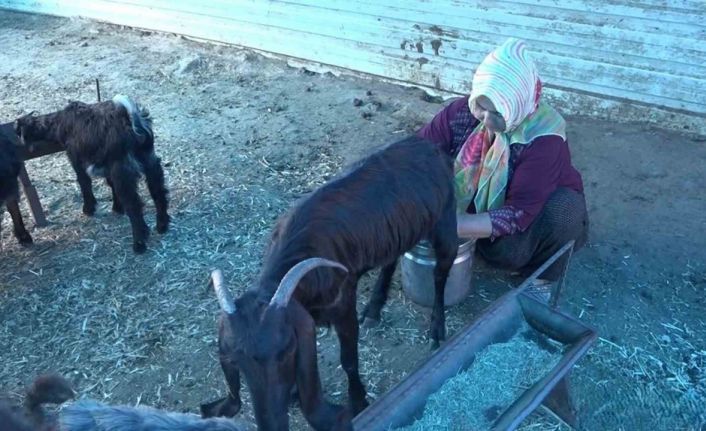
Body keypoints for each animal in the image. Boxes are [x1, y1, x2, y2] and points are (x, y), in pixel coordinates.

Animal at [14, 95, 170, 253]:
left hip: (123, 171)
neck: (59, 122)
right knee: (159, 192)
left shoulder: (76, 158)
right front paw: (117, 207)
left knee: (134, 205)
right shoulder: (106, 164)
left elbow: (84, 182)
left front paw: (89, 208)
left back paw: (139, 243)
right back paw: (162, 225)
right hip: (150, 161)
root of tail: (131, 120)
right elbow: (110, 184)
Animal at [202, 137, 456, 430]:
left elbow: (349, 360)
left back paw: (436, 329)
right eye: (237, 361)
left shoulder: (343, 304)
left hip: (446, 222)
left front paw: (358, 402)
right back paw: (374, 309)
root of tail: (428, 144)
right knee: (391, 261)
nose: (272, 423)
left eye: (286, 350)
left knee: (441, 273)